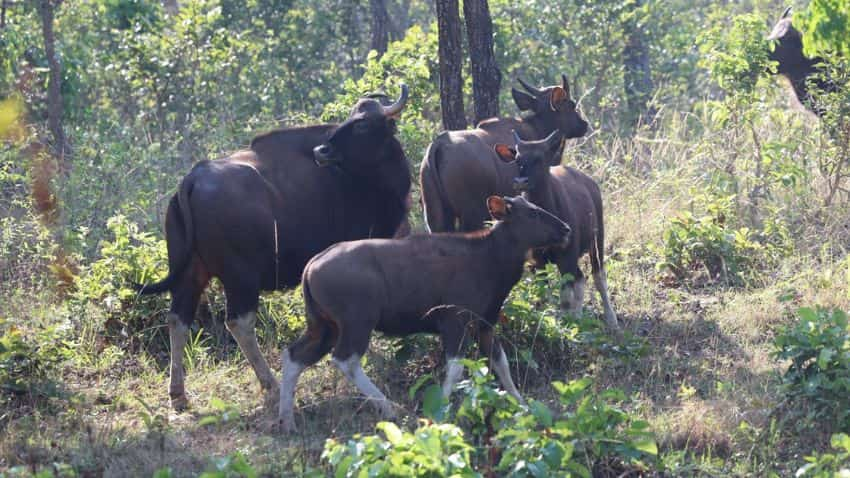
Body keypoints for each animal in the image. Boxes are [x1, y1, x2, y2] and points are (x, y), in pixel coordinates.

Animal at [278, 196, 568, 432]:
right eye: (532, 213)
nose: (566, 228)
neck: (490, 260)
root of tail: (311, 266)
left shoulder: (485, 324)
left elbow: (501, 363)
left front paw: (521, 404)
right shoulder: (453, 321)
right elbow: (456, 369)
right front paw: (442, 411)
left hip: (323, 326)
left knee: (294, 356)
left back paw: (287, 421)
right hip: (357, 321)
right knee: (345, 359)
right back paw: (388, 408)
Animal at [494, 131, 620, 338]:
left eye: (540, 158)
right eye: (518, 159)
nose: (521, 181)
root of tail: (590, 184)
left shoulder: (567, 255)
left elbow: (566, 297)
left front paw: (566, 326)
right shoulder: (538, 262)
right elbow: (543, 294)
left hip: (597, 239)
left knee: (598, 276)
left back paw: (611, 319)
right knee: (580, 278)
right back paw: (578, 316)